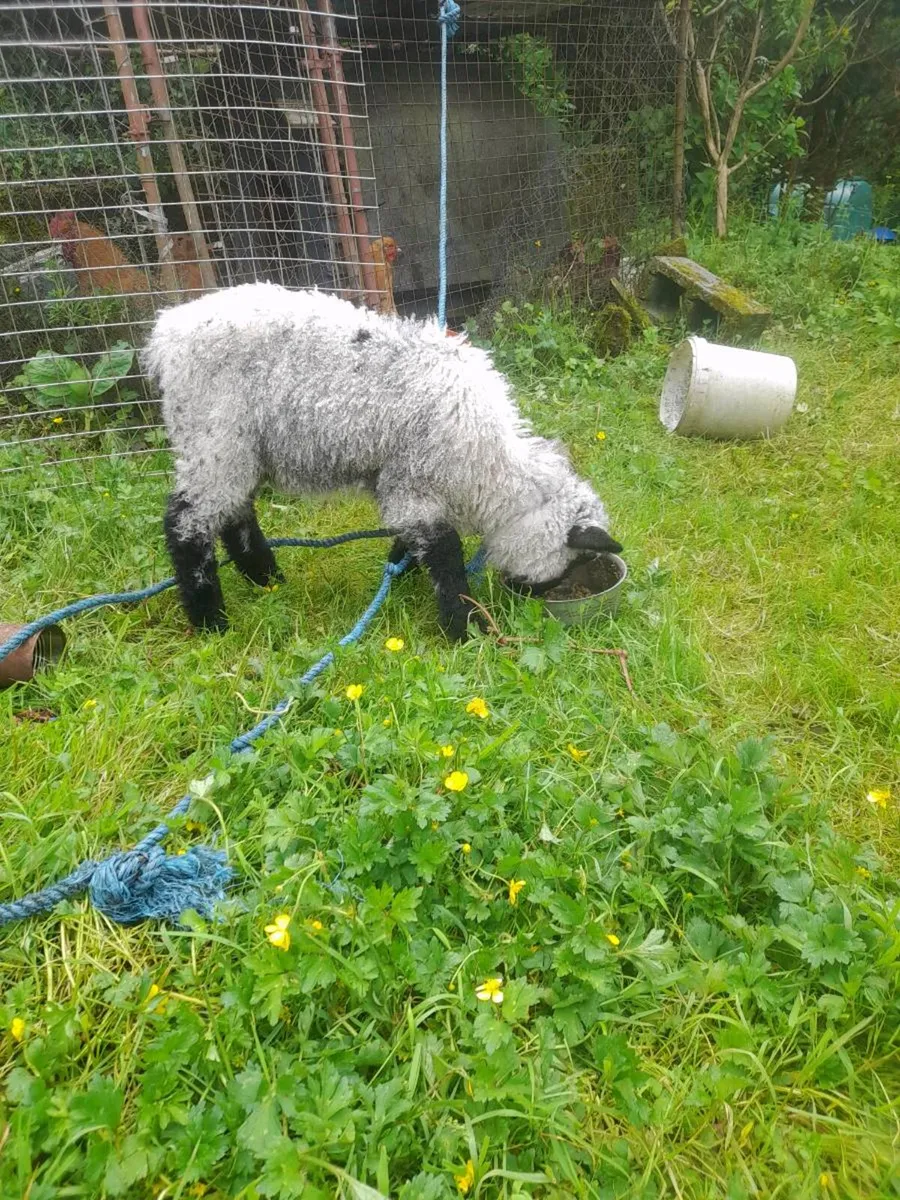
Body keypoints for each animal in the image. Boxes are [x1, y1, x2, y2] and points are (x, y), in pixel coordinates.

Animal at [143, 282, 622, 640]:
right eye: (570, 561)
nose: (542, 595)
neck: (486, 463)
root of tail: (167, 332)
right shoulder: (414, 478)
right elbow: (444, 549)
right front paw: (464, 627)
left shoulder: (400, 482)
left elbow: (411, 534)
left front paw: (401, 568)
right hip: (214, 434)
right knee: (187, 521)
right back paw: (210, 620)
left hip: (238, 447)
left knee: (235, 512)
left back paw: (266, 580)